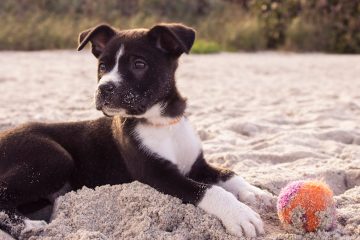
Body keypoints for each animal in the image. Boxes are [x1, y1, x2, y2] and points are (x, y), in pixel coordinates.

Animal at [0, 23, 272, 239]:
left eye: (139, 64)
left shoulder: (197, 165)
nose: (104, 88)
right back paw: (28, 227)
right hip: (55, 157)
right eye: (102, 66)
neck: (161, 122)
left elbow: (228, 174)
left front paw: (255, 193)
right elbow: (208, 190)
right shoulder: (156, 173)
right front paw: (239, 214)